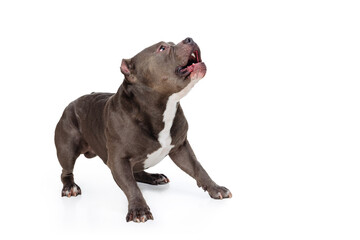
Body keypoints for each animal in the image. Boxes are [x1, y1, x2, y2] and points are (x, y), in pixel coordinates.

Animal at [54, 37, 232, 223]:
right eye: (162, 48)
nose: (189, 39)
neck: (162, 107)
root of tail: (72, 102)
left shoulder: (181, 148)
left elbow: (198, 168)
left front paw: (215, 188)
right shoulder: (119, 160)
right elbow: (131, 186)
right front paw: (139, 209)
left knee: (137, 173)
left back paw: (154, 177)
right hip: (66, 148)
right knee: (66, 171)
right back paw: (70, 187)